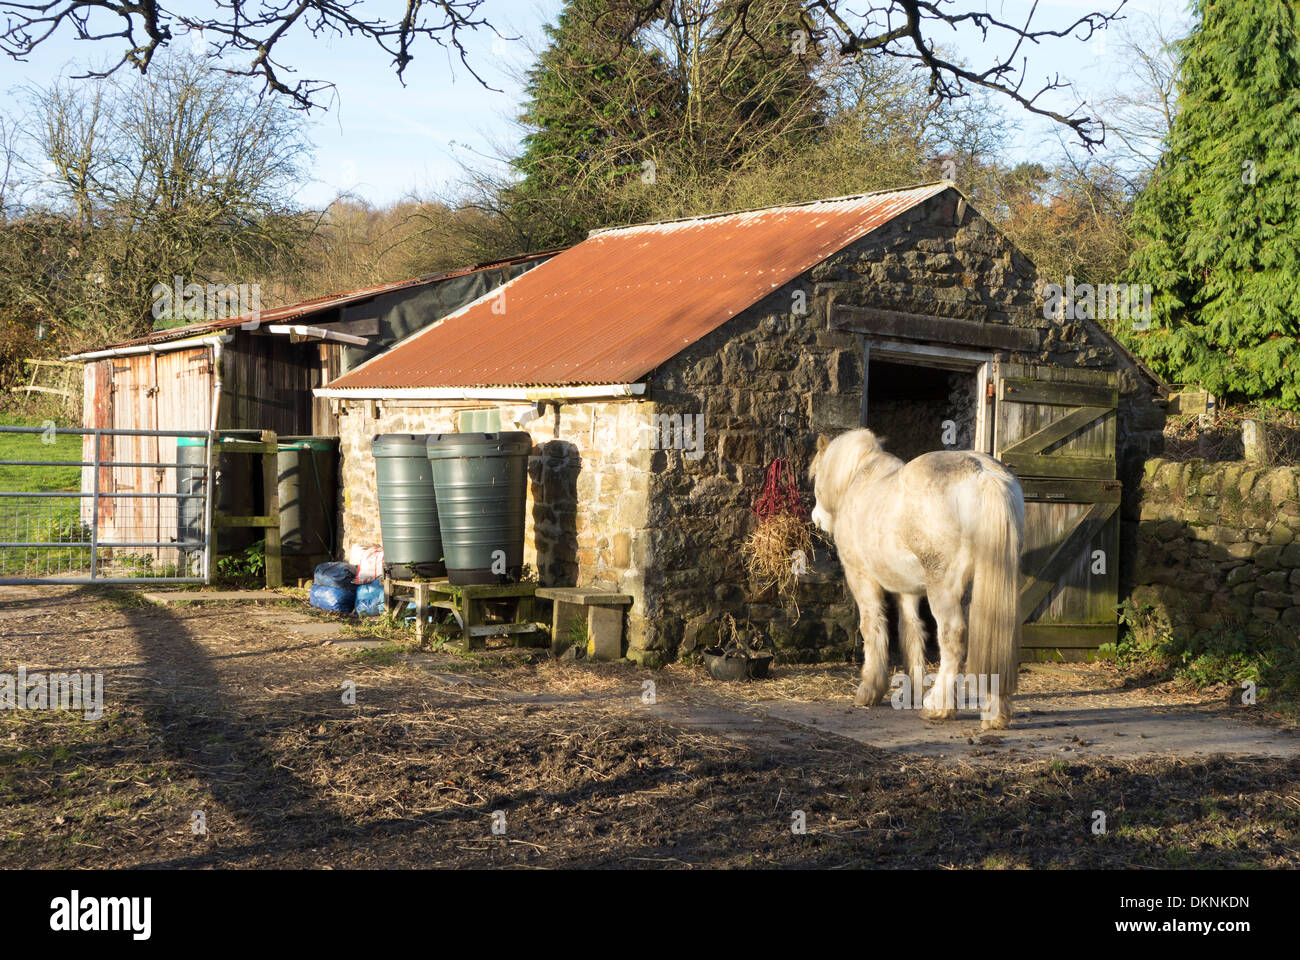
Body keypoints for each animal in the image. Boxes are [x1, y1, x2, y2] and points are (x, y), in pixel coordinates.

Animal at [809, 429, 1025, 730]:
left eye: (816, 476)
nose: (816, 518)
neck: (858, 481)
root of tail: (985, 475)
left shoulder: (861, 579)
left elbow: (873, 627)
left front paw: (869, 690)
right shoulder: (906, 591)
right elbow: (911, 631)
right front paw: (912, 690)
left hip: (944, 588)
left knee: (952, 637)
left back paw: (938, 707)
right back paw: (994, 714)